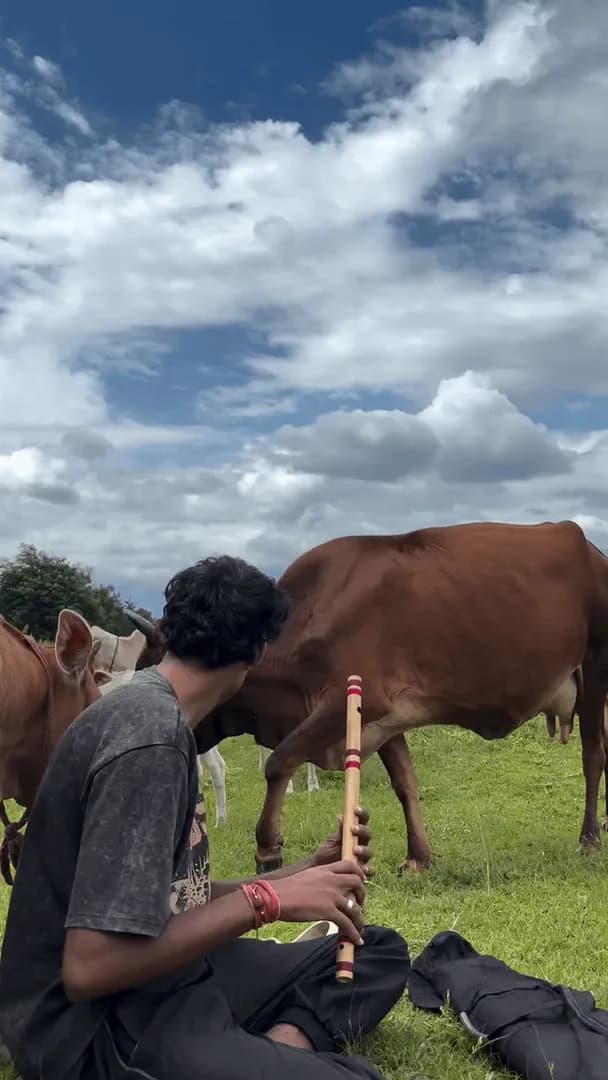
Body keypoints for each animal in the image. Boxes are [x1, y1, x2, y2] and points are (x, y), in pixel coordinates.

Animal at [188, 521, 608, 875]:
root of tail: (591, 549)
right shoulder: (384, 720)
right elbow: (405, 782)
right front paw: (419, 856)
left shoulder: (351, 700)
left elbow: (279, 762)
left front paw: (268, 849)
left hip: (595, 671)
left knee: (593, 756)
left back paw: (589, 839)